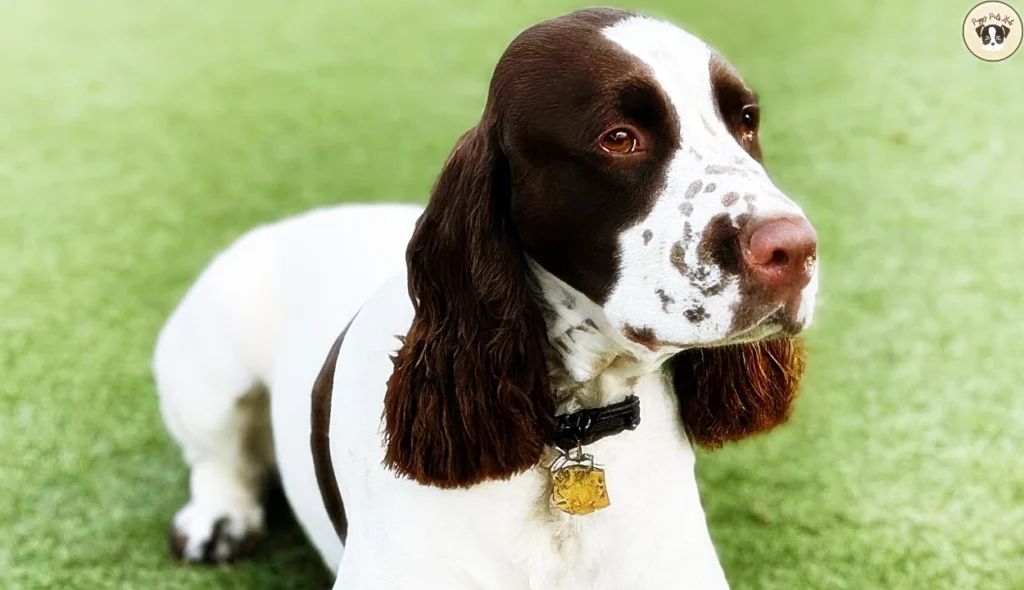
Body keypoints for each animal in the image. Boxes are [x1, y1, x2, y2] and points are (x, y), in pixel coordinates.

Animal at [153, 6, 823, 585]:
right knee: (217, 459)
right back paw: (220, 520)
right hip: (207, 364)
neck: (570, 420)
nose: (793, 249)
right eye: (619, 137)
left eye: (746, 121)